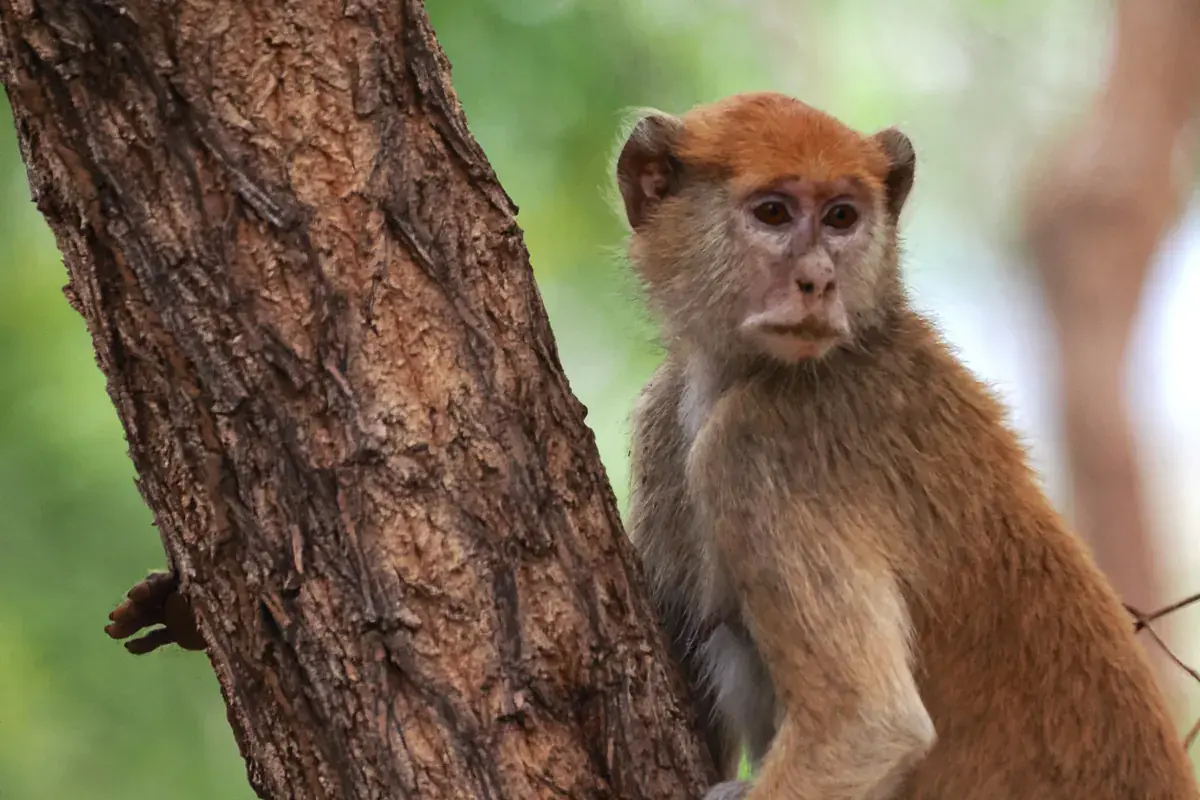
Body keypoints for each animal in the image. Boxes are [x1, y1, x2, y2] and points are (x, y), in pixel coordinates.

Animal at [618, 92, 1200, 799]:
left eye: (841, 217)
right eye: (774, 213)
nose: (818, 281)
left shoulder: (764, 442)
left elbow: (868, 728)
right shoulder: (666, 418)